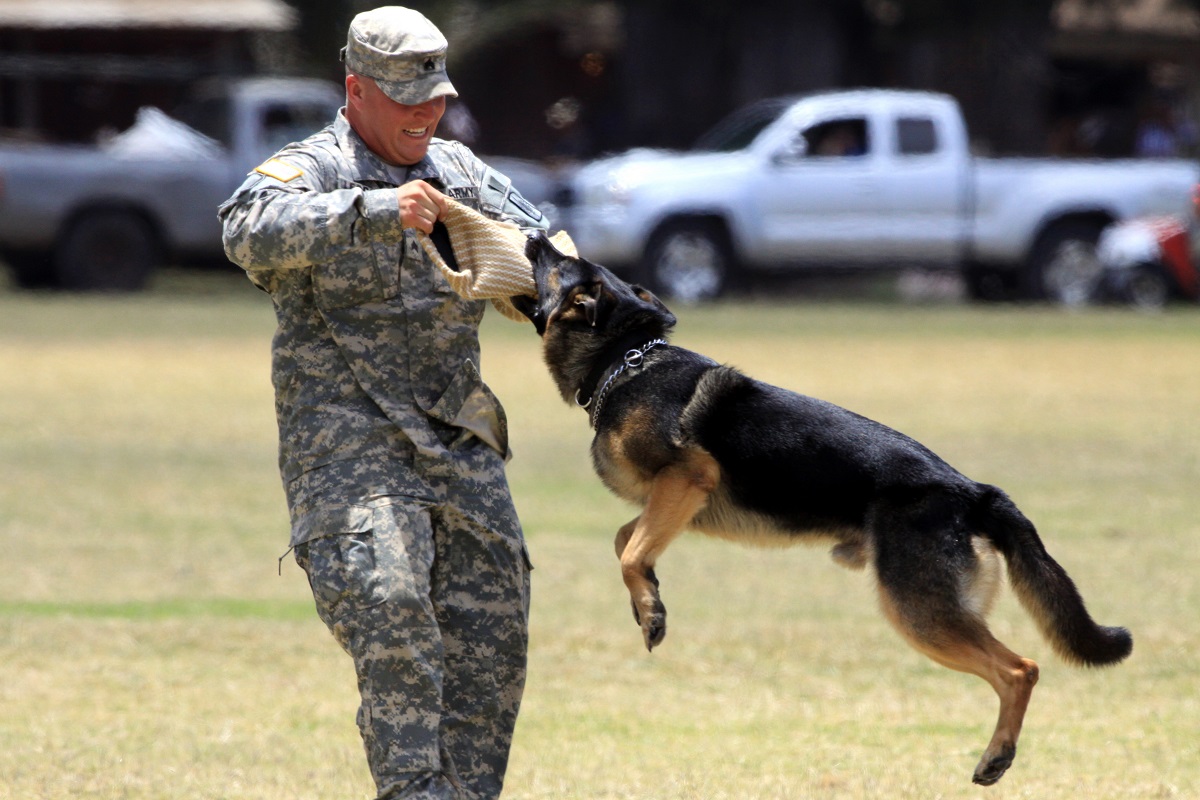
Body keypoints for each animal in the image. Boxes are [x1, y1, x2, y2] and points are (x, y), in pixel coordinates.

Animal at [511, 232, 1128, 786]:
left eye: (560, 265)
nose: (535, 234)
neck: (625, 359)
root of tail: (971, 491)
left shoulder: (688, 477)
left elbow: (629, 550)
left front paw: (650, 608)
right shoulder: (674, 501)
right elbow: (627, 541)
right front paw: (650, 603)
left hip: (919, 611)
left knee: (1021, 669)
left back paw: (997, 753)